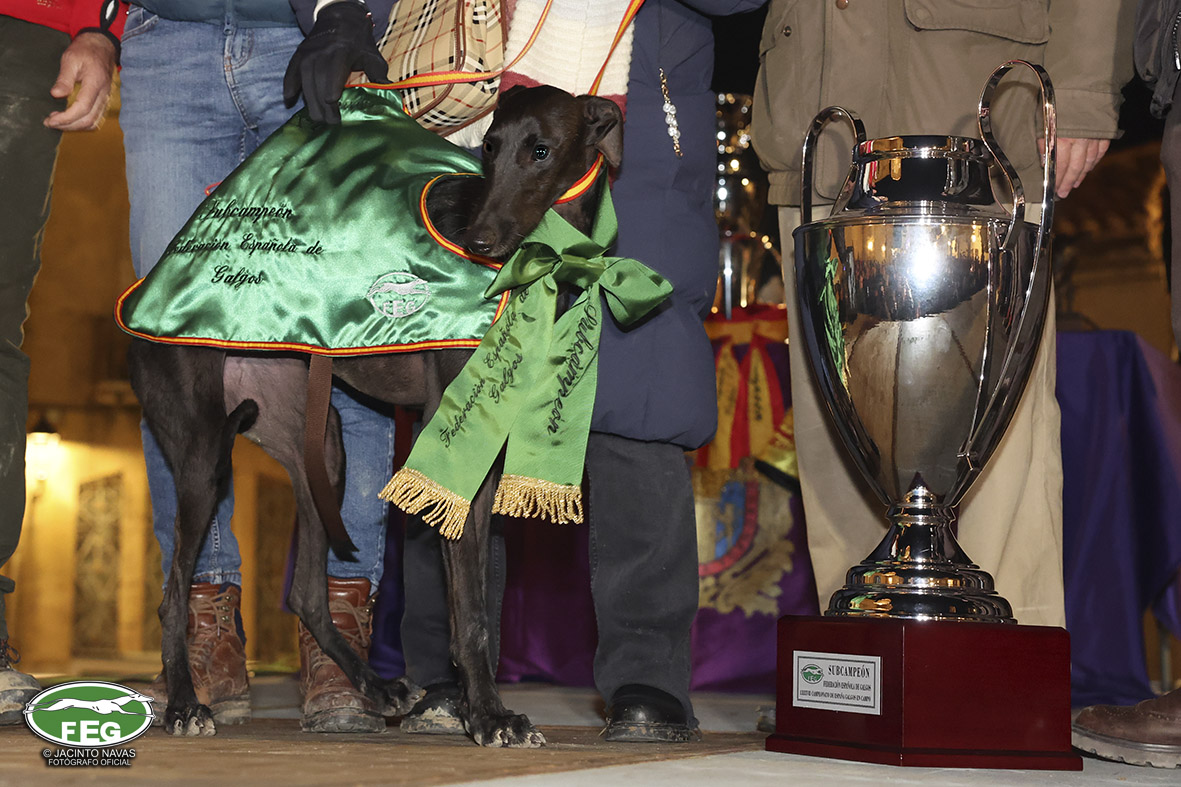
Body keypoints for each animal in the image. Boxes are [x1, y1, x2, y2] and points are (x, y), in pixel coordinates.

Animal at [128, 85, 623, 747]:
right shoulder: (455, 442)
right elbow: (469, 611)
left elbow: (473, 599)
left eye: (540, 150)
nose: (480, 241)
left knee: (308, 594)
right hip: (203, 453)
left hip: (319, 444)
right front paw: (489, 716)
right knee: (174, 591)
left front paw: (476, 708)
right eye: (490, 147)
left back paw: (374, 687)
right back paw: (185, 704)